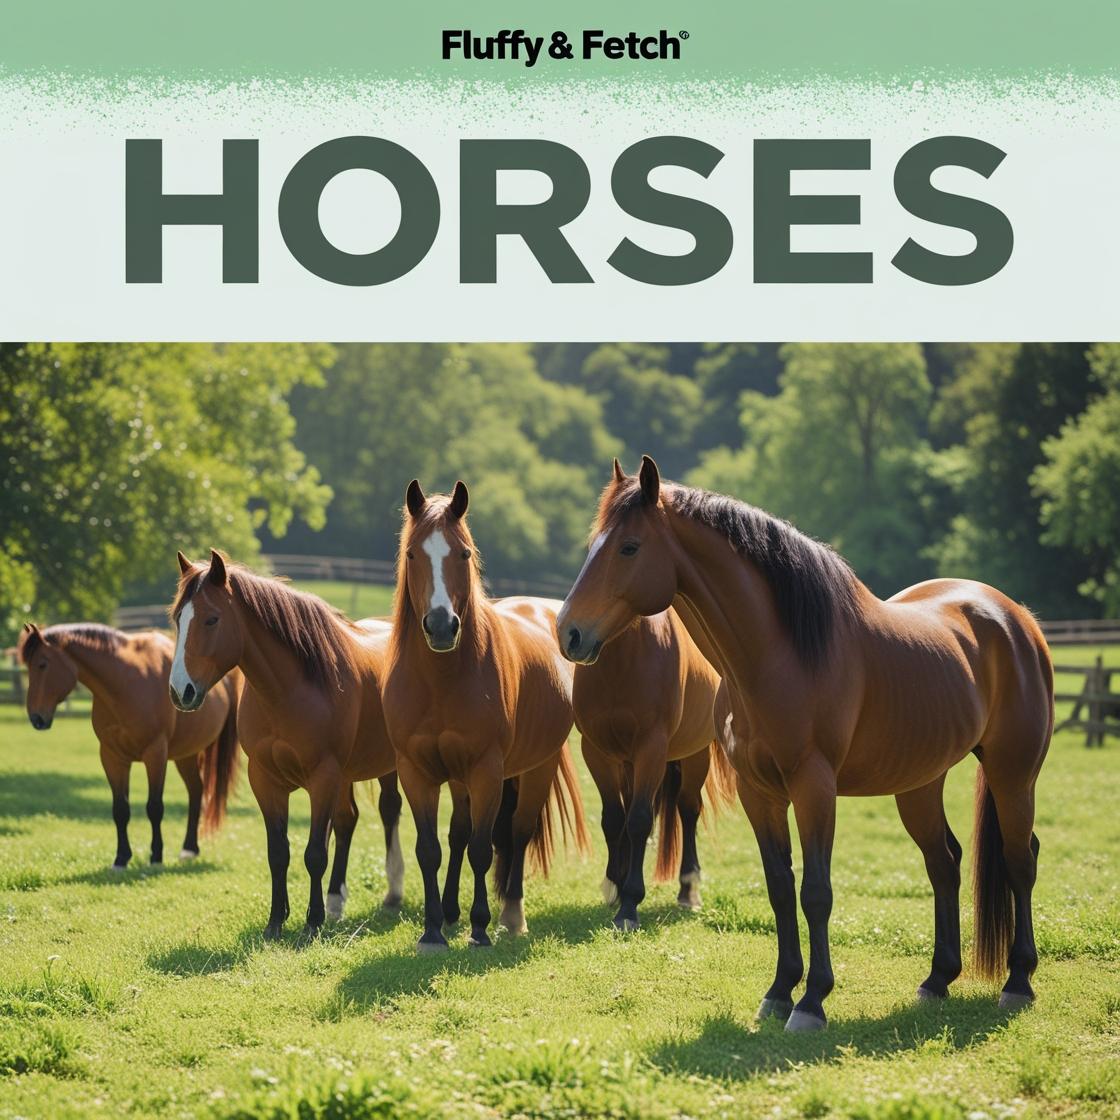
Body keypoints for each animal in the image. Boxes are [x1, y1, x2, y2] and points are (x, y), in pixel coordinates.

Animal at [18, 622, 240, 869]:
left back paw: (188, 849)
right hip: (185, 756)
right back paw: (189, 849)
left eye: (42, 664)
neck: (125, 685)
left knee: (195, 793)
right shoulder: (112, 757)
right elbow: (120, 809)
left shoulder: (155, 754)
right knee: (196, 790)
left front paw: (156, 856)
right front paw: (121, 858)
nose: (36, 718)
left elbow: (154, 807)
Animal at [169, 550, 409, 938]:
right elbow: (278, 852)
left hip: (388, 766)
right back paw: (336, 900)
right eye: (178, 618)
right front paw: (276, 921)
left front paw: (311, 924)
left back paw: (393, 891)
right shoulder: (265, 780)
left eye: (211, 619)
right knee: (347, 820)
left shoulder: (323, 777)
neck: (289, 691)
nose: (180, 691)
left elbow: (314, 853)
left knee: (389, 811)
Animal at [383, 480, 590, 952]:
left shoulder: (486, 771)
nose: (442, 626)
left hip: (535, 769)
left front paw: (479, 928)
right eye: (412, 554)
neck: (442, 680)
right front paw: (433, 930)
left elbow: (482, 847)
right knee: (458, 833)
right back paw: (450, 913)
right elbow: (431, 849)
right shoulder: (416, 772)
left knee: (517, 832)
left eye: (463, 553)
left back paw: (510, 917)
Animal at [572, 608, 736, 930]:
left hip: (694, 757)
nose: (574, 637)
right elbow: (613, 819)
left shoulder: (651, 750)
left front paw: (630, 903)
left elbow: (638, 820)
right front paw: (614, 884)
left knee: (688, 809)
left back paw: (688, 888)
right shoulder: (596, 752)